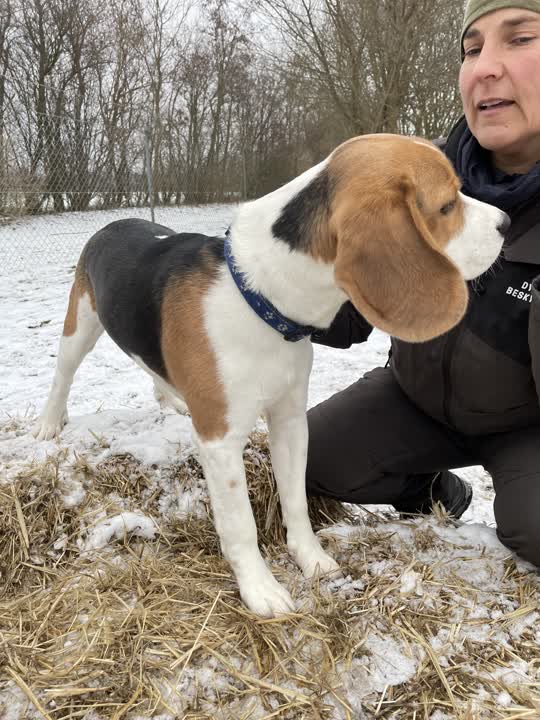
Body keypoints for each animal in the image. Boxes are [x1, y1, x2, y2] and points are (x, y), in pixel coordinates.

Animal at [33, 134, 507, 616]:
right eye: (447, 205)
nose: (506, 223)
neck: (259, 296)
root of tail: (112, 224)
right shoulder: (220, 441)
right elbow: (240, 523)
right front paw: (260, 588)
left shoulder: (291, 420)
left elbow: (295, 500)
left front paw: (310, 558)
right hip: (80, 326)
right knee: (61, 376)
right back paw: (49, 424)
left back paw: (171, 402)